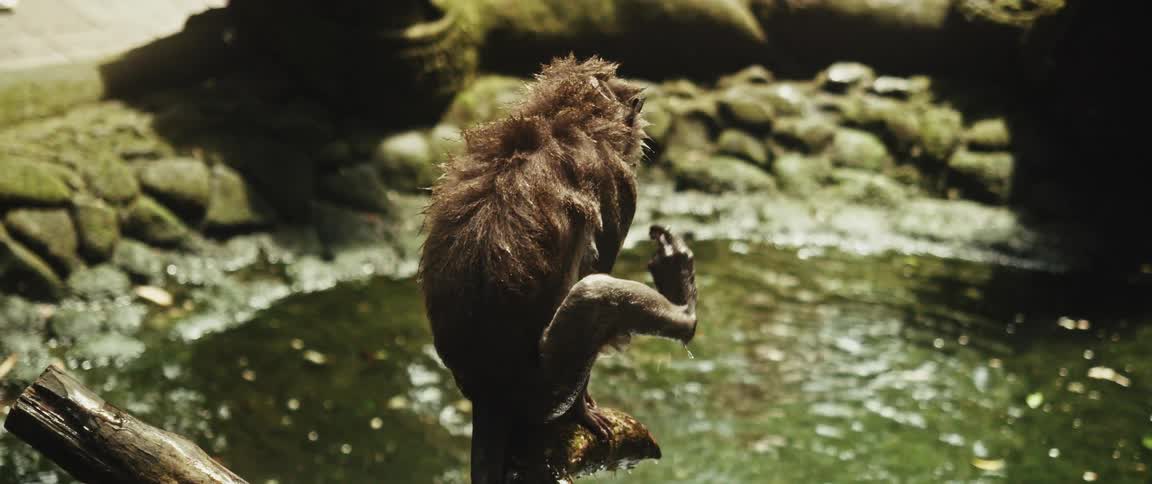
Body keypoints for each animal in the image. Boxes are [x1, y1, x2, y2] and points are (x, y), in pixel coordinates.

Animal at [418, 55, 699, 483]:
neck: (560, 119)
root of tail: (487, 398)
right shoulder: (621, 187)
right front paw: (584, 410)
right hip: (542, 392)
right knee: (596, 293)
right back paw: (683, 306)